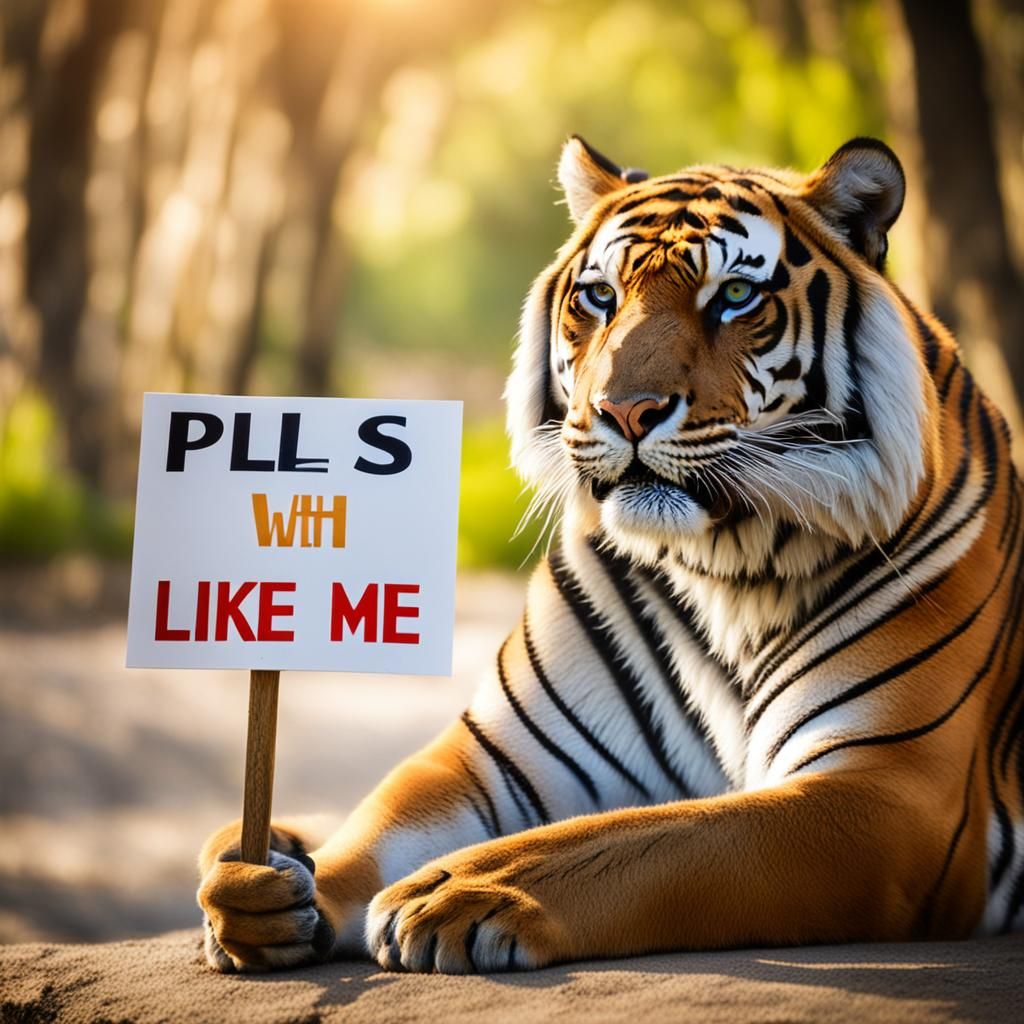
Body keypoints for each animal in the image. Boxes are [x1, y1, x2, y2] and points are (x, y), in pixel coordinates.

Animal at [197, 136, 1024, 974]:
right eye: (599, 297)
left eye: (734, 296)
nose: (625, 411)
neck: (723, 563)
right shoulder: (503, 758)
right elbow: (380, 825)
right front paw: (261, 883)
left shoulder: (889, 791)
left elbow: (657, 836)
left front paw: (459, 887)